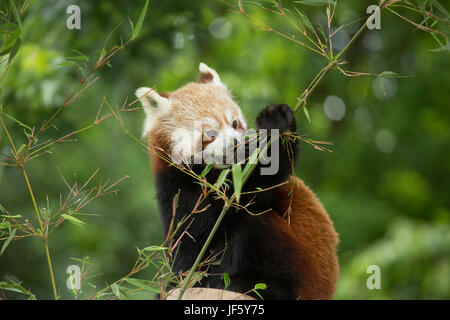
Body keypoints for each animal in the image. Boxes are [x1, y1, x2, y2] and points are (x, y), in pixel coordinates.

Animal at [135, 63, 340, 300]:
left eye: (234, 123)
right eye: (210, 133)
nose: (235, 143)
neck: (210, 178)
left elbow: (266, 174)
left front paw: (275, 123)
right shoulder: (174, 191)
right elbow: (187, 241)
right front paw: (177, 283)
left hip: (304, 260)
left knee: (252, 224)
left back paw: (254, 285)